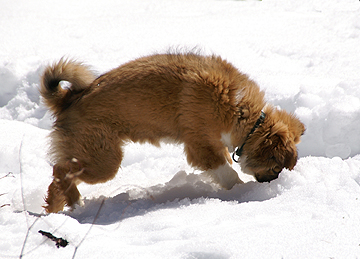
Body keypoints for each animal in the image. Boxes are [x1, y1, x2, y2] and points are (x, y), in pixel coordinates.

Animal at [40, 52, 304, 213]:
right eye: (276, 168)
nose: (271, 186)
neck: (245, 115)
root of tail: (67, 98)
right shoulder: (201, 147)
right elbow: (228, 174)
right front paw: (241, 191)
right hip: (104, 161)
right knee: (60, 171)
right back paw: (71, 205)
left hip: (91, 156)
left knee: (58, 178)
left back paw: (61, 209)